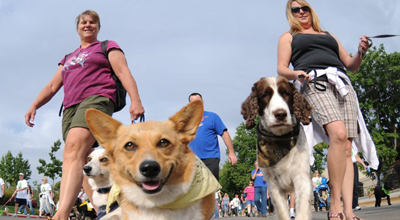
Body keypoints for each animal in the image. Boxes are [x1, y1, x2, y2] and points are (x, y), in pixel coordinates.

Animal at [242, 76, 314, 220]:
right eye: (264, 95)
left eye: (287, 93)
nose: (280, 114)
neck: (280, 140)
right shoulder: (274, 183)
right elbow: (281, 210)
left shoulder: (301, 177)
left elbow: (302, 208)